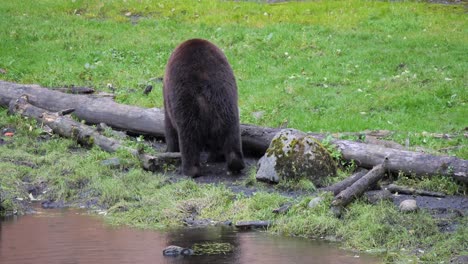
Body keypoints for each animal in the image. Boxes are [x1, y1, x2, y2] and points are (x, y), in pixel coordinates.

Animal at [163, 38, 245, 177]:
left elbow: (169, 127)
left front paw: (169, 149)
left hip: (185, 103)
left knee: (188, 137)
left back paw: (191, 169)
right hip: (227, 104)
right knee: (231, 134)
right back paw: (233, 162)